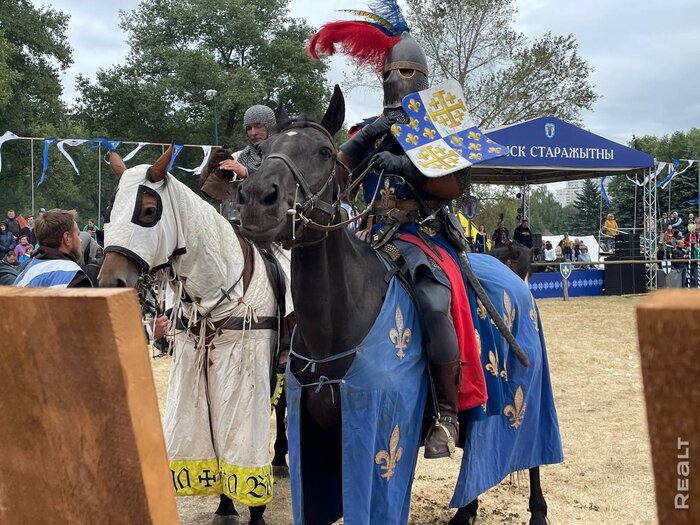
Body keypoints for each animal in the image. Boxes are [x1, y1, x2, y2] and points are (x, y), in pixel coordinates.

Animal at [98, 147, 290, 524]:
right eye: (111, 210)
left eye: (149, 211)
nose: (111, 282)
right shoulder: (195, 368)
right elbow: (210, 434)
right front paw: (226, 506)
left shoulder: (247, 368)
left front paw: (256, 510)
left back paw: (280, 460)